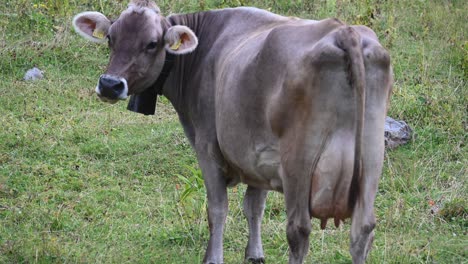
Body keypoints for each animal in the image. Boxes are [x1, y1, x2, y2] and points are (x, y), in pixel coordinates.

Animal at [72, 1, 392, 262]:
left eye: (152, 44)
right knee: (362, 230)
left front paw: (214, 258)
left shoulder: (208, 147)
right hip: (371, 157)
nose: (110, 84)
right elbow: (254, 206)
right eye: (111, 38)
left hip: (299, 163)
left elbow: (217, 209)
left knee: (299, 230)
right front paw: (255, 255)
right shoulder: (259, 156)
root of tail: (344, 32)